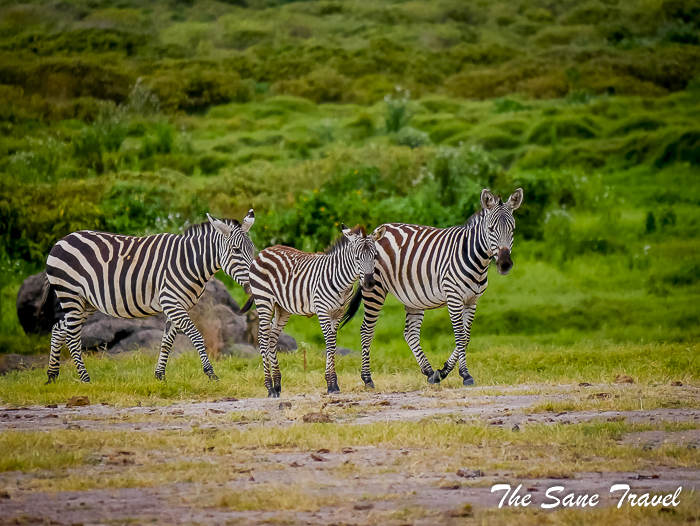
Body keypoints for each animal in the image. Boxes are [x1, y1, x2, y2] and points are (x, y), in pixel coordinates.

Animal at [39, 208, 258, 386]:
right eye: (236, 250)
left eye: (253, 250)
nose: (252, 283)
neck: (189, 262)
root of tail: (62, 240)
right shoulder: (171, 303)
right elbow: (196, 336)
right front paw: (211, 374)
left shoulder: (178, 306)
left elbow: (167, 341)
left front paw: (160, 376)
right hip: (71, 294)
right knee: (72, 337)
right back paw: (85, 379)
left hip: (86, 302)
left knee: (58, 329)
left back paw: (52, 376)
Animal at [239, 225, 382, 398]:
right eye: (357, 257)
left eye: (375, 256)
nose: (369, 283)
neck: (342, 281)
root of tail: (264, 251)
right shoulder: (322, 310)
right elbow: (329, 342)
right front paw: (331, 384)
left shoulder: (338, 313)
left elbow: (333, 343)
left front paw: (332, 383)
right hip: (264, 301)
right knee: (262, 337)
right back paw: (270, 388)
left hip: (282, 308)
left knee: (272, 336)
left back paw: (277, 385)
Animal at [358, 190, 524, 388]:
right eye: (491, 229)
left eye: (513, 229)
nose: (505, 264)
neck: (476, 259)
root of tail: (377, 230)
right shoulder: (454, 297)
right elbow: (460, 336)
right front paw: (465, 375)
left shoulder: (472, 301)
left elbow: (466, 337)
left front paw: (443, 371)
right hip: (374, 289)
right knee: (366, 331)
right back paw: (367, 379)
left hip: (413, 296)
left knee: (410, 333)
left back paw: (430, 373)